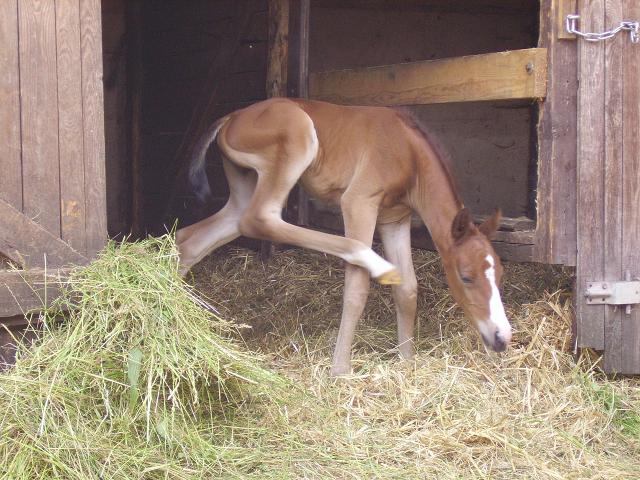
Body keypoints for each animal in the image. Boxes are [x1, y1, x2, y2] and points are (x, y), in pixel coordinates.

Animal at [176, 98, 516, 376]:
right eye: (466, 277)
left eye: (500, 275)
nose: (502, 338)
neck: (408, 152)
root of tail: (232, 116)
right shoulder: (359, 201)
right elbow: (357, 290)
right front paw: (341, 369)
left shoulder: (396, 218)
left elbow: (408, 289)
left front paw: (406, 360)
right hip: (296, 141)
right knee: (259, 218)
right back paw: (376, 264)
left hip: (243, 184)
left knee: (193, 238)